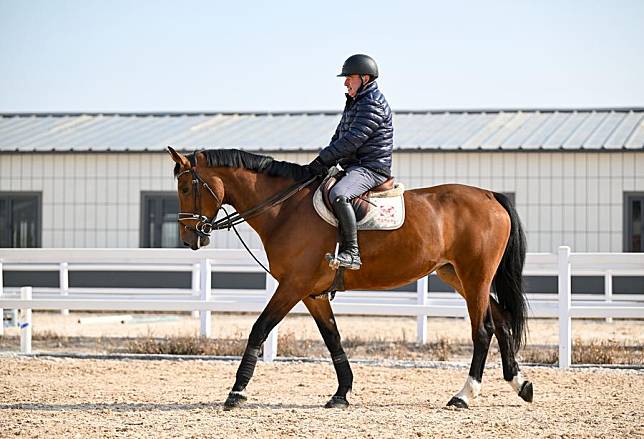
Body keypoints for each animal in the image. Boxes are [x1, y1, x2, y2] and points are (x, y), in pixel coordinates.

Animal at [167, 147, 532, 410]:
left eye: (186, 187)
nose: (189, 238)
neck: (285, 210)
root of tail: (490, 195)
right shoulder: (311, 293)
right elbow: (333, 339)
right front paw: (341, 393)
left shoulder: (292, 286)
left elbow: (259, 329)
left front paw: (237, 391)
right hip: (456, 275)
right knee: (501, 320)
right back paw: (520, 384)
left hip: (475, 277)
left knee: (483, 331)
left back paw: (464, 395)